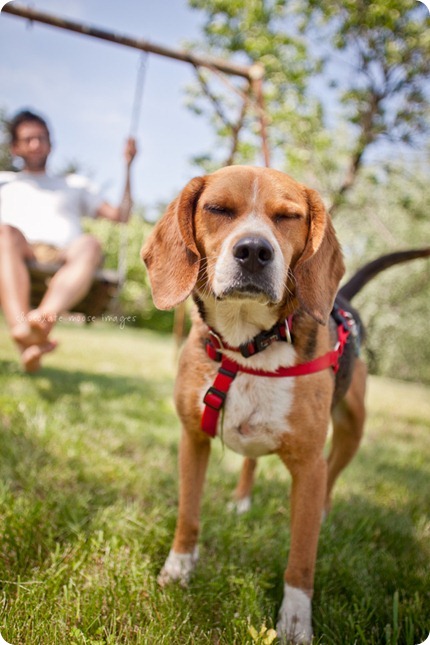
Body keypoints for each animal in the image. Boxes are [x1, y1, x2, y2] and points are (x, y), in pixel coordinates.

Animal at [142, 164, 430, 640]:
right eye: (218, 209)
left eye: (289, 216)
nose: (254, 251)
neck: (247, 347)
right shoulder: (193, 440)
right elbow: (189, 516)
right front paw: (178, 570)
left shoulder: (308, 465)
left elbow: (302, 558)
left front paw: (295, 621)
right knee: (250, 461)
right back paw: (241, 500)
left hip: (352, 429)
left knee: (331, 478)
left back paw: (324, 514)